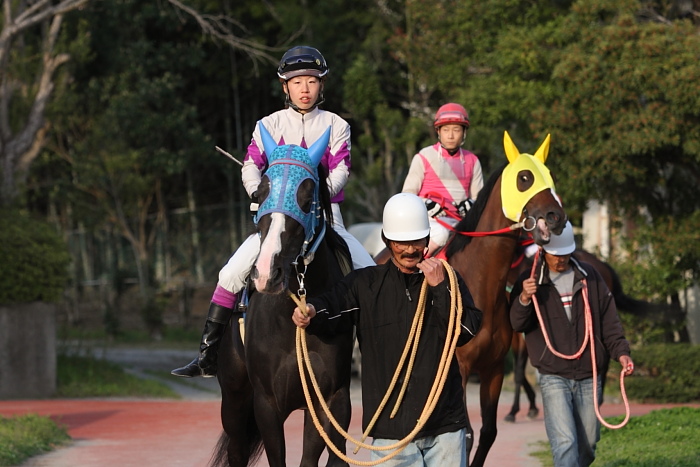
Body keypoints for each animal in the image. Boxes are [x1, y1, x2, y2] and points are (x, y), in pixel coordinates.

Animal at [212, 122, 356, 466]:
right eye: (260, 193)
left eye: (306, 196)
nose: (267, 272)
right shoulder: (266, 402)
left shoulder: (330, 399)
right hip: (234, 399)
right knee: (236, 449)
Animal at [446, 133, 568, 467]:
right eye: (524, 178)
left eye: (550, 175)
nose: (557, 217)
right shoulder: (460, 368)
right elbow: (464, 435)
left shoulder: (494, 368)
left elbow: (487, 433)